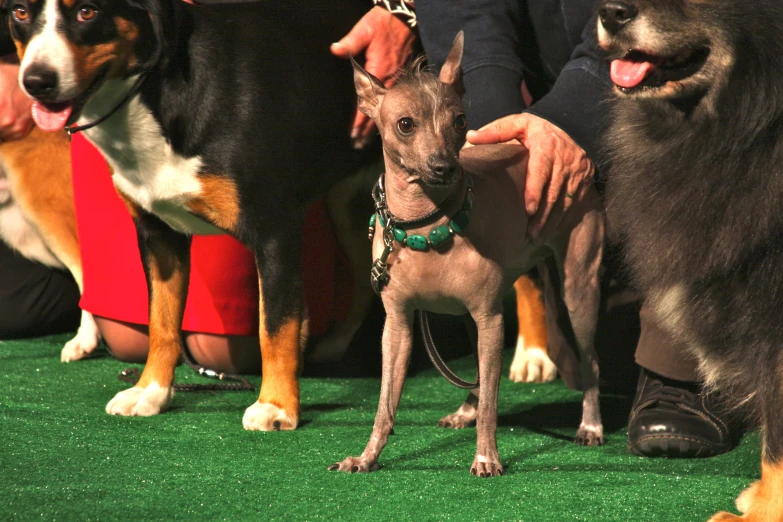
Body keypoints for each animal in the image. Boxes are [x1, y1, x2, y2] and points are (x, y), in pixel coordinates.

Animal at [330, 32, 608, 476]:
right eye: (405, 124)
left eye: (460, 121)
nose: (443, 167)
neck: (424, 224)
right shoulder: (397, 327)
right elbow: (385, 404)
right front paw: (368, 456)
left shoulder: (491, 320)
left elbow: (494, 405)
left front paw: (486, 457)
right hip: (466, 316)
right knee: (478, 372)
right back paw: (467, 409)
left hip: (578, 291)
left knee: (590, 360)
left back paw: (590, 425)